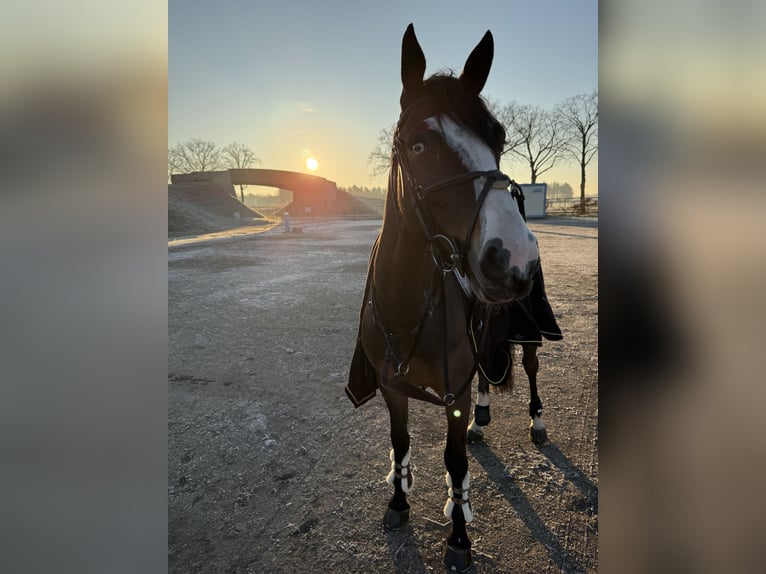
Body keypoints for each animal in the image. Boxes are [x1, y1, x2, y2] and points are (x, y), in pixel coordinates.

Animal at [346, 24, 540, 572]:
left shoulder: (452, 392)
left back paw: (536, 421)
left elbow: (455, 465)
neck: (409, 304)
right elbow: (400, 443)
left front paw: (458, 537)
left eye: (499, 136)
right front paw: (398, 502)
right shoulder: (391, 386)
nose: (514, 256)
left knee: (531, 367)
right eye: (417, 144)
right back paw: (483, 417)